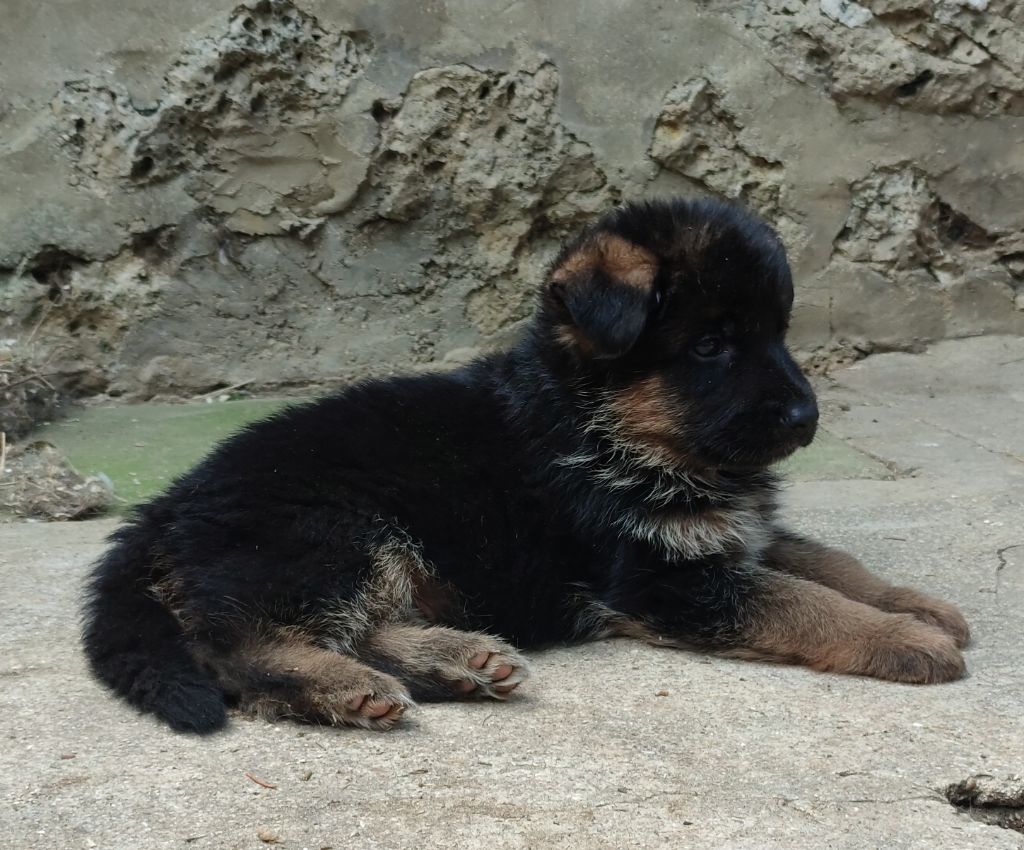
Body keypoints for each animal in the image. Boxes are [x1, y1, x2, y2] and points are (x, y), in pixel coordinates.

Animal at [81, 197, 966, 733]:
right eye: (712, 344)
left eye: (778, 334)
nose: (806, 419)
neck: (597, 420)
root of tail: (165, 505)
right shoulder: (666, 578)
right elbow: (802, 601)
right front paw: (905, 638)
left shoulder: (726, 534)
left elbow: (827, 561)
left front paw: (917, 603)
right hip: (330, 531)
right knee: (234, 648)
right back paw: (344, 686)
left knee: (361, 625)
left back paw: (455, 661)